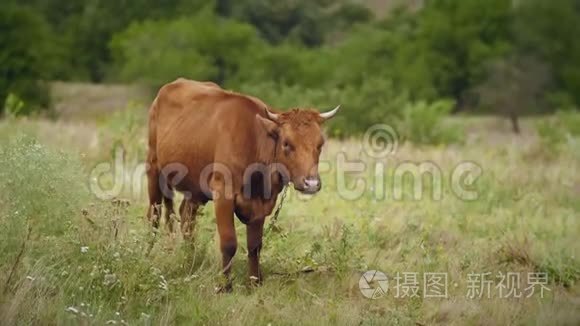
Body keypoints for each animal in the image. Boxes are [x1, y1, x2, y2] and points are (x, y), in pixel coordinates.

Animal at [145, 78, 338, 290]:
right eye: (287, 143)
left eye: (320, 144)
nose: (311, 183)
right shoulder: (223, 194)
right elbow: (229, 243)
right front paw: (224, 286)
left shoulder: (262, 203)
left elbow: (255, 246)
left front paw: (254, 282)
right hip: (153, 167)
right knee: (154, 216)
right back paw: (146, 255)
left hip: (195, 188)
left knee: (186, 217)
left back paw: (190, 258)